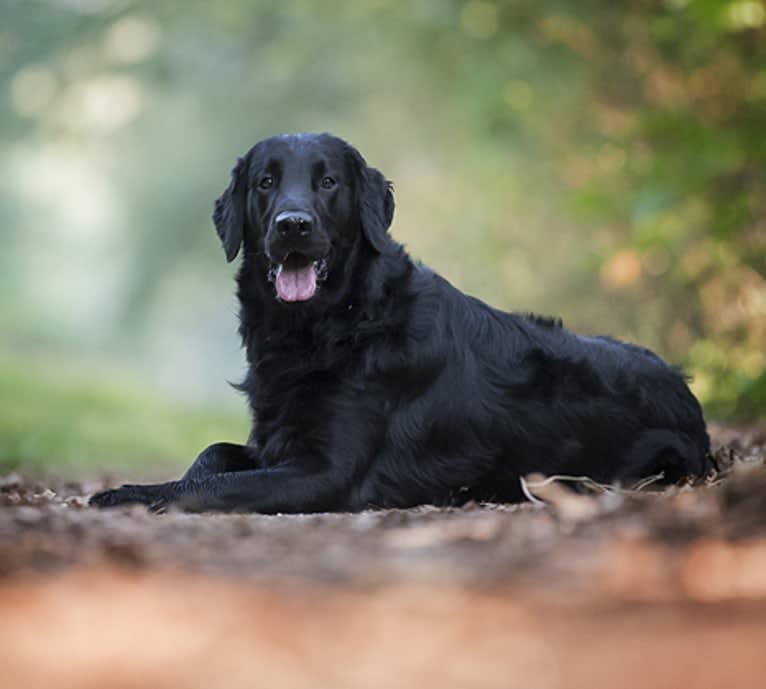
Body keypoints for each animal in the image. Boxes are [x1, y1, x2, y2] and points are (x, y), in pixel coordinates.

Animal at [91, 133, 712, 510]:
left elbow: (209, 486)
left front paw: (136, 495)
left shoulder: (326, 471)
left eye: (328, 182)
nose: (293, 225)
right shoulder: (276, 441)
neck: (330, 323)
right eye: (265, 182)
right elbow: (211, 457)